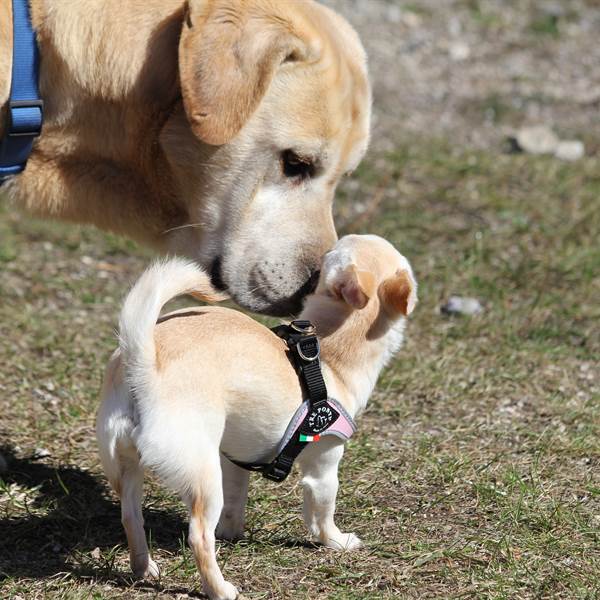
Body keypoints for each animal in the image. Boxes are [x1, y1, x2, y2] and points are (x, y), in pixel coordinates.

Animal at [96, 236, 420, 600]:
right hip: (203, 474)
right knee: (198, 536)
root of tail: (143, 362)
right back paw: (219, 588)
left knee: (130, 517)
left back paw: (143, 568)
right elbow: (322, 513)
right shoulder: (323, 465)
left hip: (126, 465)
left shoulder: (235, 461)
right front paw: (337, 541)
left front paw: (232, 533)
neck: (328, 352)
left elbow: (236, 501)